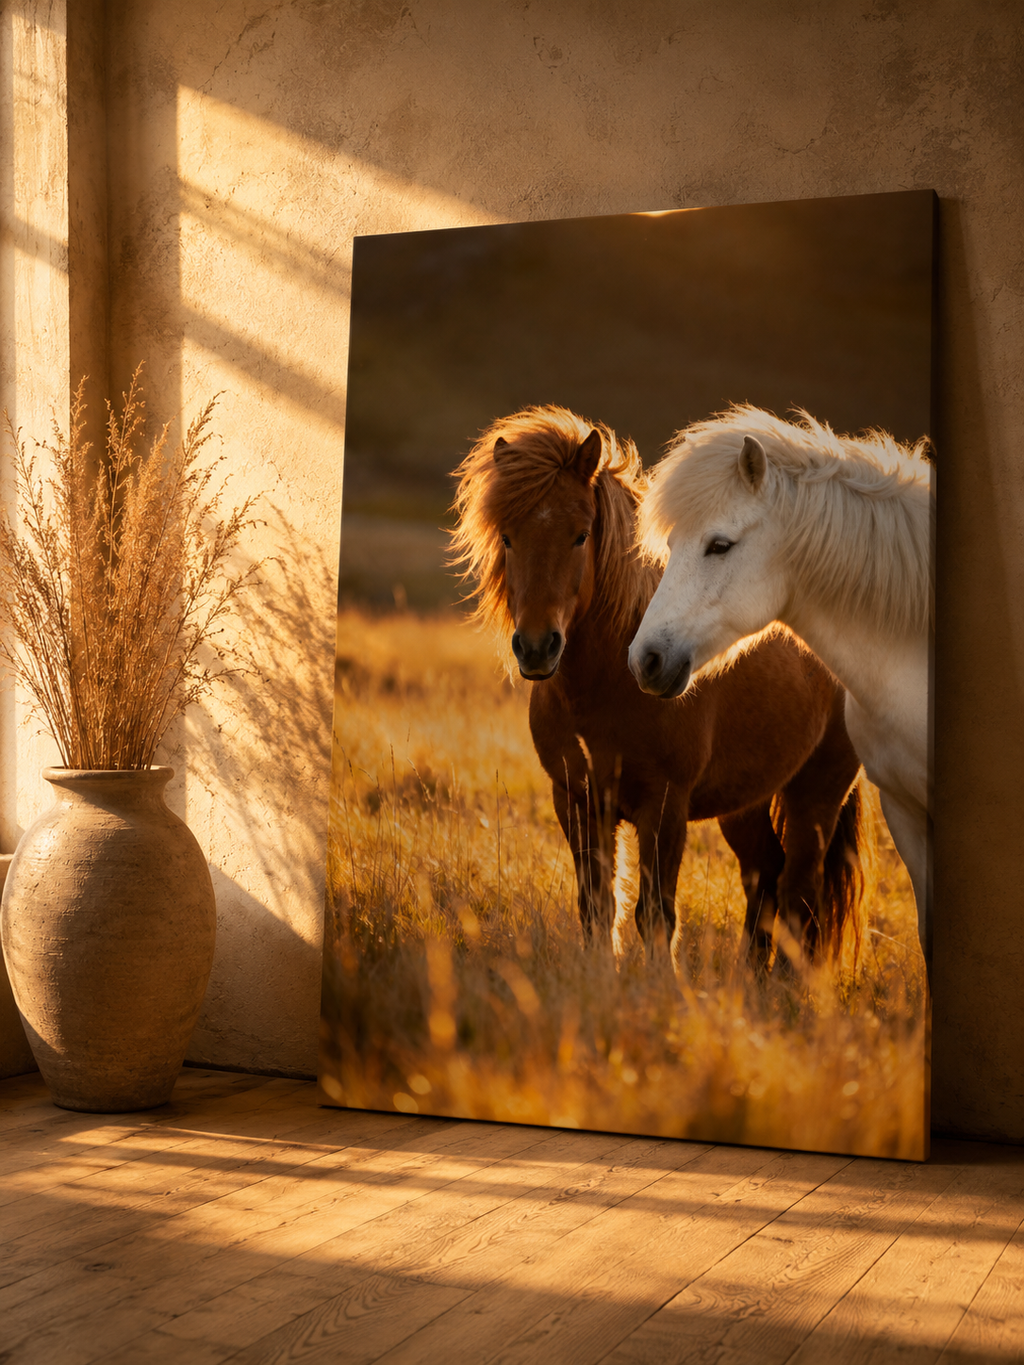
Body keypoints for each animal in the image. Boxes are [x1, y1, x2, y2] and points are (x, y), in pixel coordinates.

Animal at [451, 405, 870, 966]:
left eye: (580, 535)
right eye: (508, 537)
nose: (538, 648)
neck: (607, 685)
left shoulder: (664, 808)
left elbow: (654, 914)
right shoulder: (577, 800)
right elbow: (597, 906)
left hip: (815, 796)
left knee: (798, 894)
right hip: (745, 803)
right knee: (765, 877)